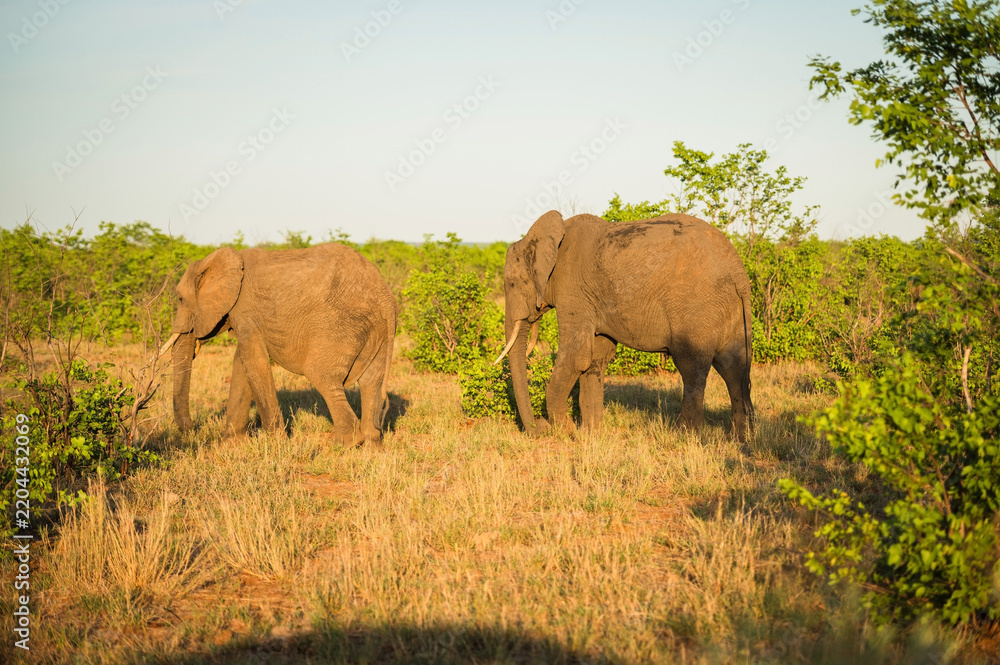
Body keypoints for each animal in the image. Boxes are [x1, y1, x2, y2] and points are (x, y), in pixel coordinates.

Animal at [159, 242, 396, 446]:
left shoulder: (244, 309)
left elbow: (254, 360)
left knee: (321, 375)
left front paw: (275, 443)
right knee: (371, 382)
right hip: (377, 330)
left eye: (180, 299)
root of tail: (385, 298)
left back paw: (344, 446)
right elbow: (242, 361)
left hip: (341, 324)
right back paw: (372, 445)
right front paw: (232, 444)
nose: (192, 428)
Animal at [495, 210, 754, 440]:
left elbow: (576, 357)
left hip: (696, 307)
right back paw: (739, 438)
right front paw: (589, 434)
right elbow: (596, 359)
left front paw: (567, 433)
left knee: (692, 368)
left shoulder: (573, 288)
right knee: (733, 367)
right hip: (728, 307)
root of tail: (738, 269)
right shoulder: (593, 299)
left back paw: (685, 436)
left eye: (511, 283)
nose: (539, 427)